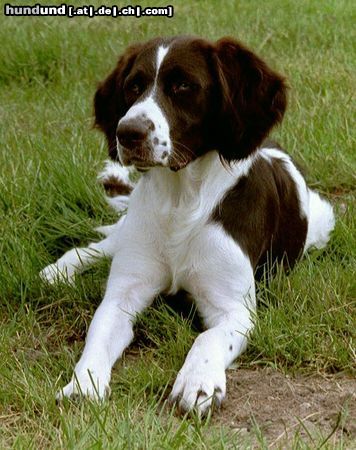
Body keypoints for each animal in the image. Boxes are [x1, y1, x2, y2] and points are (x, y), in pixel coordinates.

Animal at [40, 36, 336, 414]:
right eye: (133, 85)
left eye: (183, 86)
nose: (127, 133)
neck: (180, 201)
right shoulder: (122, 294)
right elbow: (98, 334)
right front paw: (82, 385)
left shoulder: (235, 310)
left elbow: (208, 338)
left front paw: (198, 382)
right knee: (93, 247)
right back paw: (57, 273)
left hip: (323, 221)